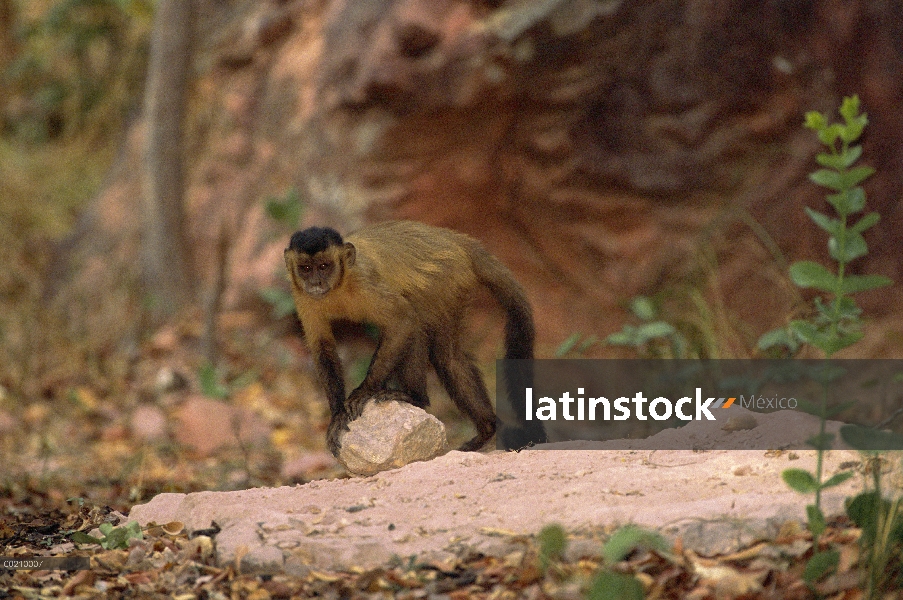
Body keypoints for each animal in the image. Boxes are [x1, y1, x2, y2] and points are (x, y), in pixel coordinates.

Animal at [286, 220, 548, 454]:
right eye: (306, 269)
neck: (338, 288)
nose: (316, 282)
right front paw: (337, 415)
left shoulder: (364, 282)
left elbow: (402, 319)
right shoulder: (302, 296)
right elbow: (323, 348)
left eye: (324, 266)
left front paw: (364, 391)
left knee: (422, 330)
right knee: (447, 356)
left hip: (447, 278)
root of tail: (454, 239)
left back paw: (416, 398)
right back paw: (487, 428)